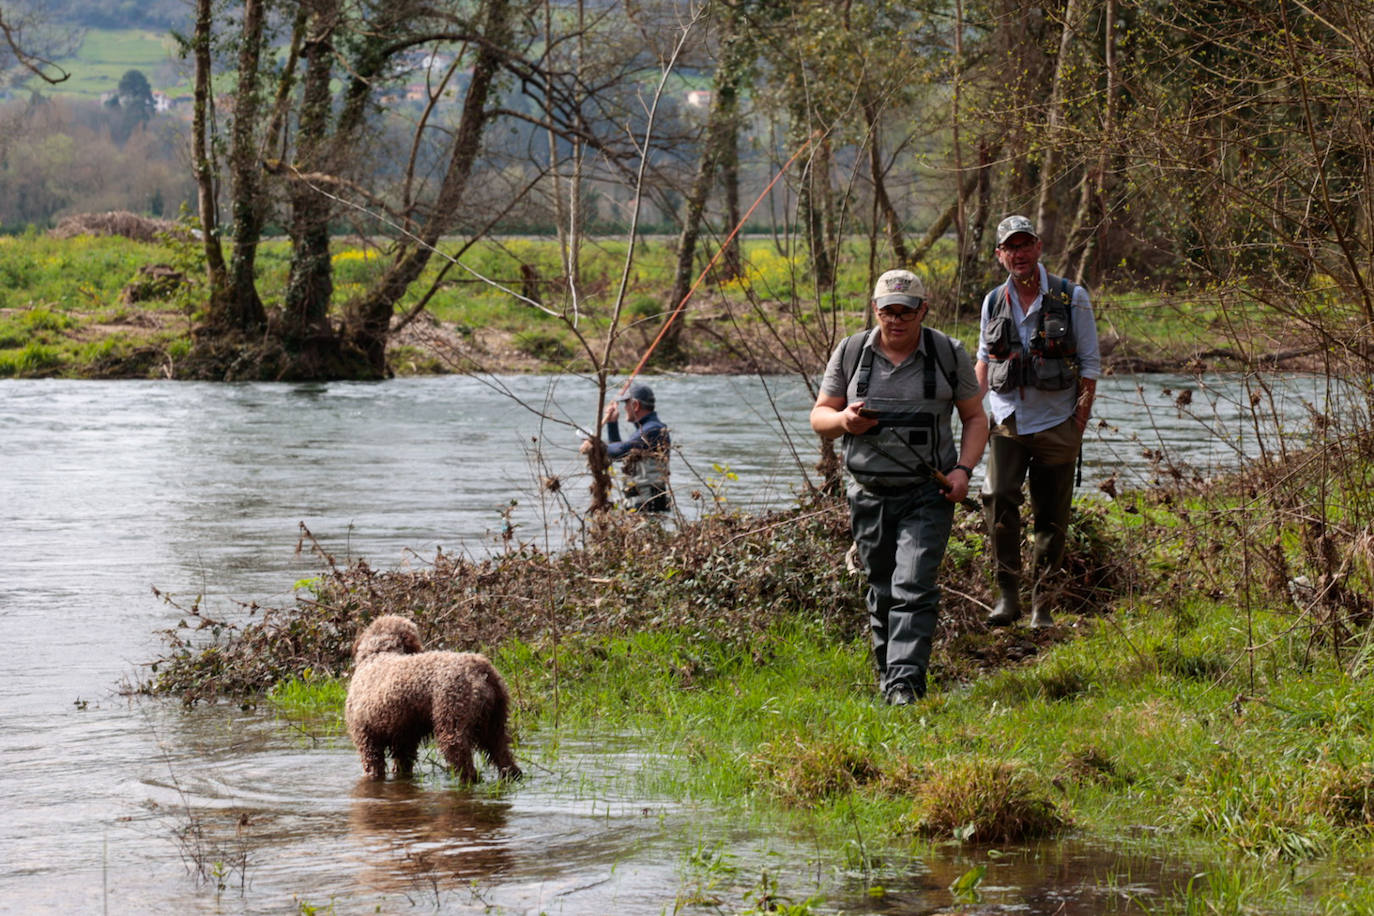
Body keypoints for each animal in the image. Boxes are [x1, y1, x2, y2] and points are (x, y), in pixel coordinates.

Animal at [343, 615, 519, 780]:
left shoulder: (367, 738)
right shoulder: (404, 738)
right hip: (494, 722)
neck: (378, 653)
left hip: (452, 721)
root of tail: (480, 669)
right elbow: (402, 765)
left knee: (464, 762)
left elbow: (373, 766)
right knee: (504, 756)